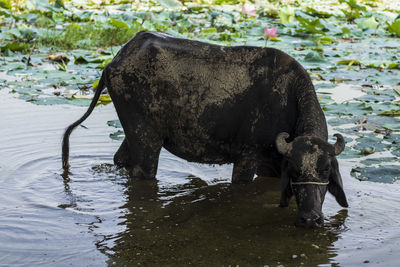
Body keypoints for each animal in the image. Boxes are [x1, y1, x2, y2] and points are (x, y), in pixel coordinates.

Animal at [61, 31, 346, 228]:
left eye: (325, 171)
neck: (288, 98)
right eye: (296, 171)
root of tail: (113, 63)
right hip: (145, 141)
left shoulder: (272, 165)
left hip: (134, 135)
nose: (310, 219)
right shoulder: (247, 158)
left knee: (119, 160)